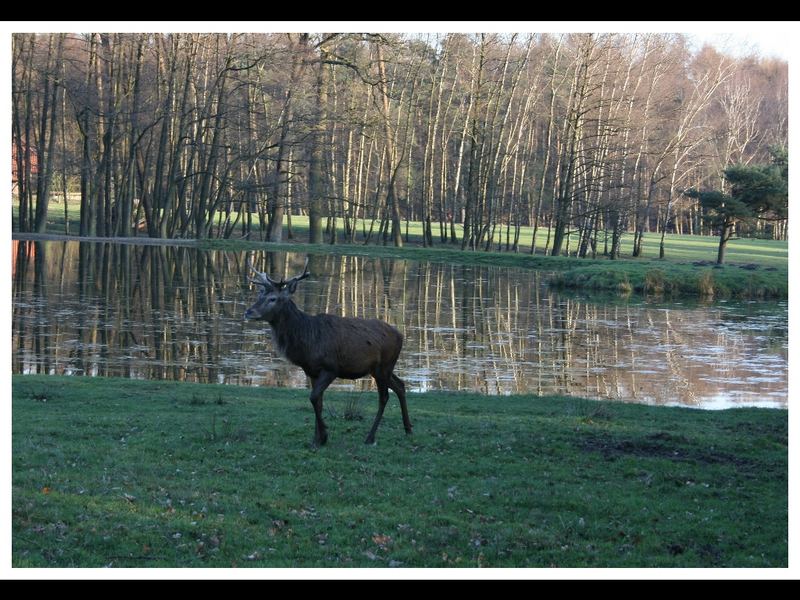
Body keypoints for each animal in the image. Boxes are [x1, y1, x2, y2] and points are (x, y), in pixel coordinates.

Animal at [244, 255, 412, 448]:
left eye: (272, 298)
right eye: (260, 294)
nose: (248, 312)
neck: (307, 342)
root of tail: (401, 335)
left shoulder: (331, 368)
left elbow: (313, 397)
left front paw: (323, 435)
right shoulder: (311, 371)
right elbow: (318, 401)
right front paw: (316, 439)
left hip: (384, 366)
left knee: (384, 397)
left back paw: (370, 437)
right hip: (380, 369)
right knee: (400, 385)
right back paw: (408, 428)